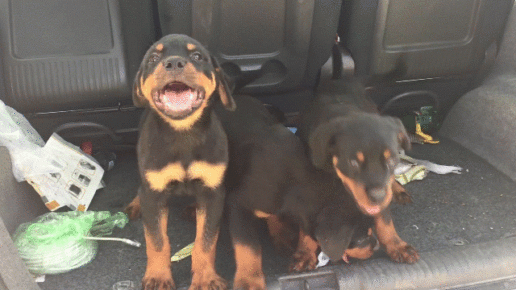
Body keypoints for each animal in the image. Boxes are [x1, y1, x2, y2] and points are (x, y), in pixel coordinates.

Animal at [126, 34, 235, 290]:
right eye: (153, 58)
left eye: (197, 56)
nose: (173, 63)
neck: (183, 133)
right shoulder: (153, 193)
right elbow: (156, 241)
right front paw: (158, 276)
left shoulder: (213, 193)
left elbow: (206, 241)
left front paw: (205, 278)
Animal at [214, 95, 378, 290]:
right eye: (361, 239)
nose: (377, 246)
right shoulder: (239, 204)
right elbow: (248, 246)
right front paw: (249, 280)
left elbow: (305, 232)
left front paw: (304, 254)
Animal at [296, 53, 422, 264]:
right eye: (353, 163)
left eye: (391, 161)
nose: (378, 196)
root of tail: (347, 80)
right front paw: (304, 253)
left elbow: (384, 220)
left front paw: (397, 246)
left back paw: (398, 190)